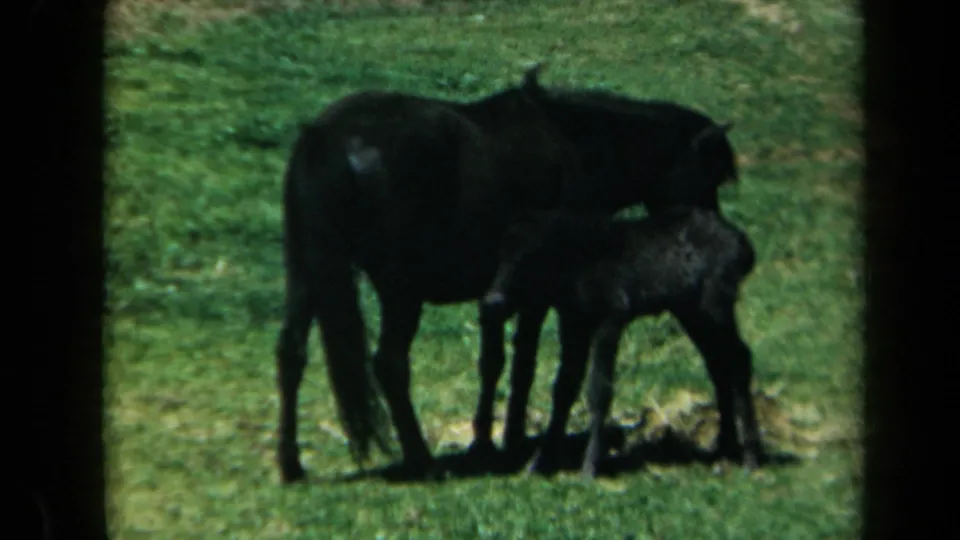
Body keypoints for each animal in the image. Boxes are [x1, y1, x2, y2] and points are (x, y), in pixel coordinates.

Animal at [480, 205, 763, 478]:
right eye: (501, 254)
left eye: (532, 255)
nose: (493, 300)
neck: (580, 261)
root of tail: (741, 241)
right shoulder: (573, 324)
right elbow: (564, 387)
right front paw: (539, 462)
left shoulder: (610, 318)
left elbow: (599, 388)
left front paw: (590, 466)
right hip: (691, 312)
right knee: (718, 363)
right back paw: (726, 446)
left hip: (715, 306)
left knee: (739, 358)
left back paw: (751, 455)